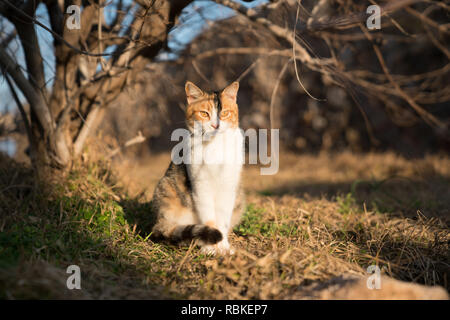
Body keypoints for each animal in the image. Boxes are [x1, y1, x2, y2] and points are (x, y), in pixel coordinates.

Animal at [149, 80, 244, 255]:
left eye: (224, 113)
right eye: (204, 114)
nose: (215, 125)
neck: (215, 145)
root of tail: (159, 222)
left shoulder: (229, 187)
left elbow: (223, 220)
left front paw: (224, 247)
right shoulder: (200, 185)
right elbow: (209, 219)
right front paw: (212, 248)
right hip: (166, 189)